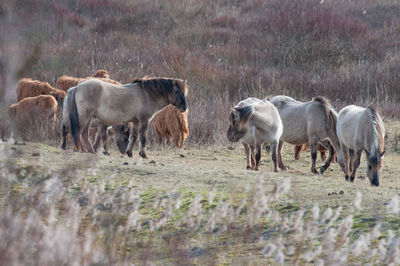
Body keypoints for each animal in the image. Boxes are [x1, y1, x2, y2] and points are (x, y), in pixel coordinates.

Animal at [60, 76, 188, 158]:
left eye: (185, 91)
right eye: (176, 91)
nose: (184, 107)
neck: (146, 95)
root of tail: (76, 87)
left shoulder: (136, 122)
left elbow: (134, 137)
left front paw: (129, 153)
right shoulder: (144, 120)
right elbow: (143, 138)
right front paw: (143, 154)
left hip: (87, 119)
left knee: (83, 133)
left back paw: (89, 150)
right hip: (84, 117)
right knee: (78, 132)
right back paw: (82, 149)